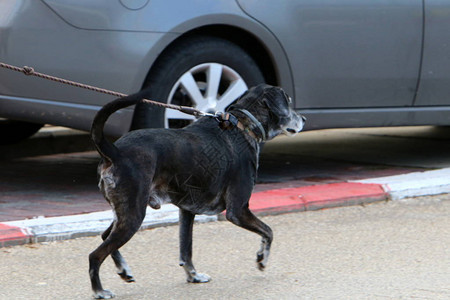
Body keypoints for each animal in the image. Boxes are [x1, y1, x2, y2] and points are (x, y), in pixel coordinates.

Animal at [88, 84, 306, 298]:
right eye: (288, 101)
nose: (303, 119)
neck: (243, 126)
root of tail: (114, 151)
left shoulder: (187, 211)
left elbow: (186, 250)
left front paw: (193, 276)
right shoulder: (238, 211)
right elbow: (269, 231)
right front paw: (262, 259)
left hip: (125, 212)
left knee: (105, 236)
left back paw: (123, 270)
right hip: (133, 215)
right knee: (95, 255)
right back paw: (99, 290)